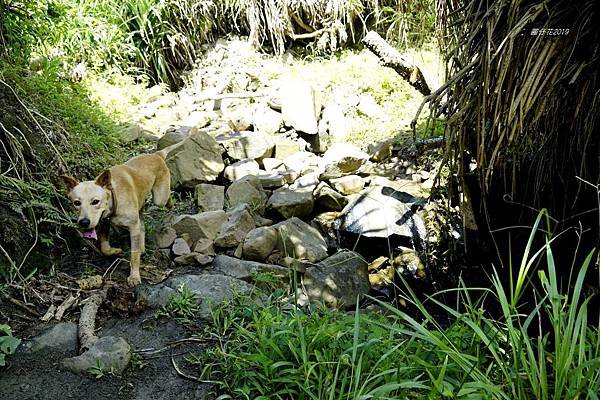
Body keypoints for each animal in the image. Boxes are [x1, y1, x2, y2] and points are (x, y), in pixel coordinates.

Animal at [60, 148, 171, 286]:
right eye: (76, 203)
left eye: (95, 201)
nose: (84, 222)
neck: (114, 196)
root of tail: (156, 155)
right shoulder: (103, 222)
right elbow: (104, 248)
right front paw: (115, 251)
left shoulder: (132, 227)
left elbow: (134, 256)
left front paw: (134, 276)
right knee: (142, 221)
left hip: (159, 199)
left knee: (165, 200)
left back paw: (170, 204)